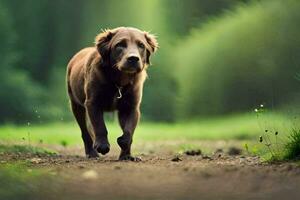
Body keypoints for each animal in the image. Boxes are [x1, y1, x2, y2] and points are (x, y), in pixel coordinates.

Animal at [66, 27, 158, 161]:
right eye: (120, 45)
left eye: (141, 45)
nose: (133, 58)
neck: (119, 80)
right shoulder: (92, 102)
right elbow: (100, 126)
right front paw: (102, 146)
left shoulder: (131, 106)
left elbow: (129, 130)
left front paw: (125, 151)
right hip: (76, 104)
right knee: (85, 131)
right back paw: (92, 153)